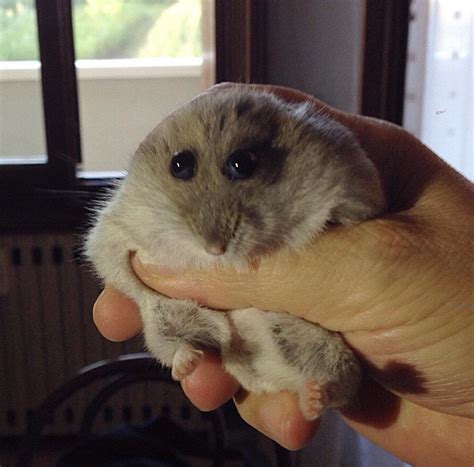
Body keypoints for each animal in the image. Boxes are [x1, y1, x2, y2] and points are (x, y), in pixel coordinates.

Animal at [85, 88, 386, 420]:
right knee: (177, 347)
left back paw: (313, 397)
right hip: (163, 325)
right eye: (179, 164)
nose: (215, 249)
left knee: (337, 383)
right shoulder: (112, 231)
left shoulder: (352, 179)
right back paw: (191, 360)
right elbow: (120, 267)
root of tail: (267, 376)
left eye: (242, 163)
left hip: (327, 349)